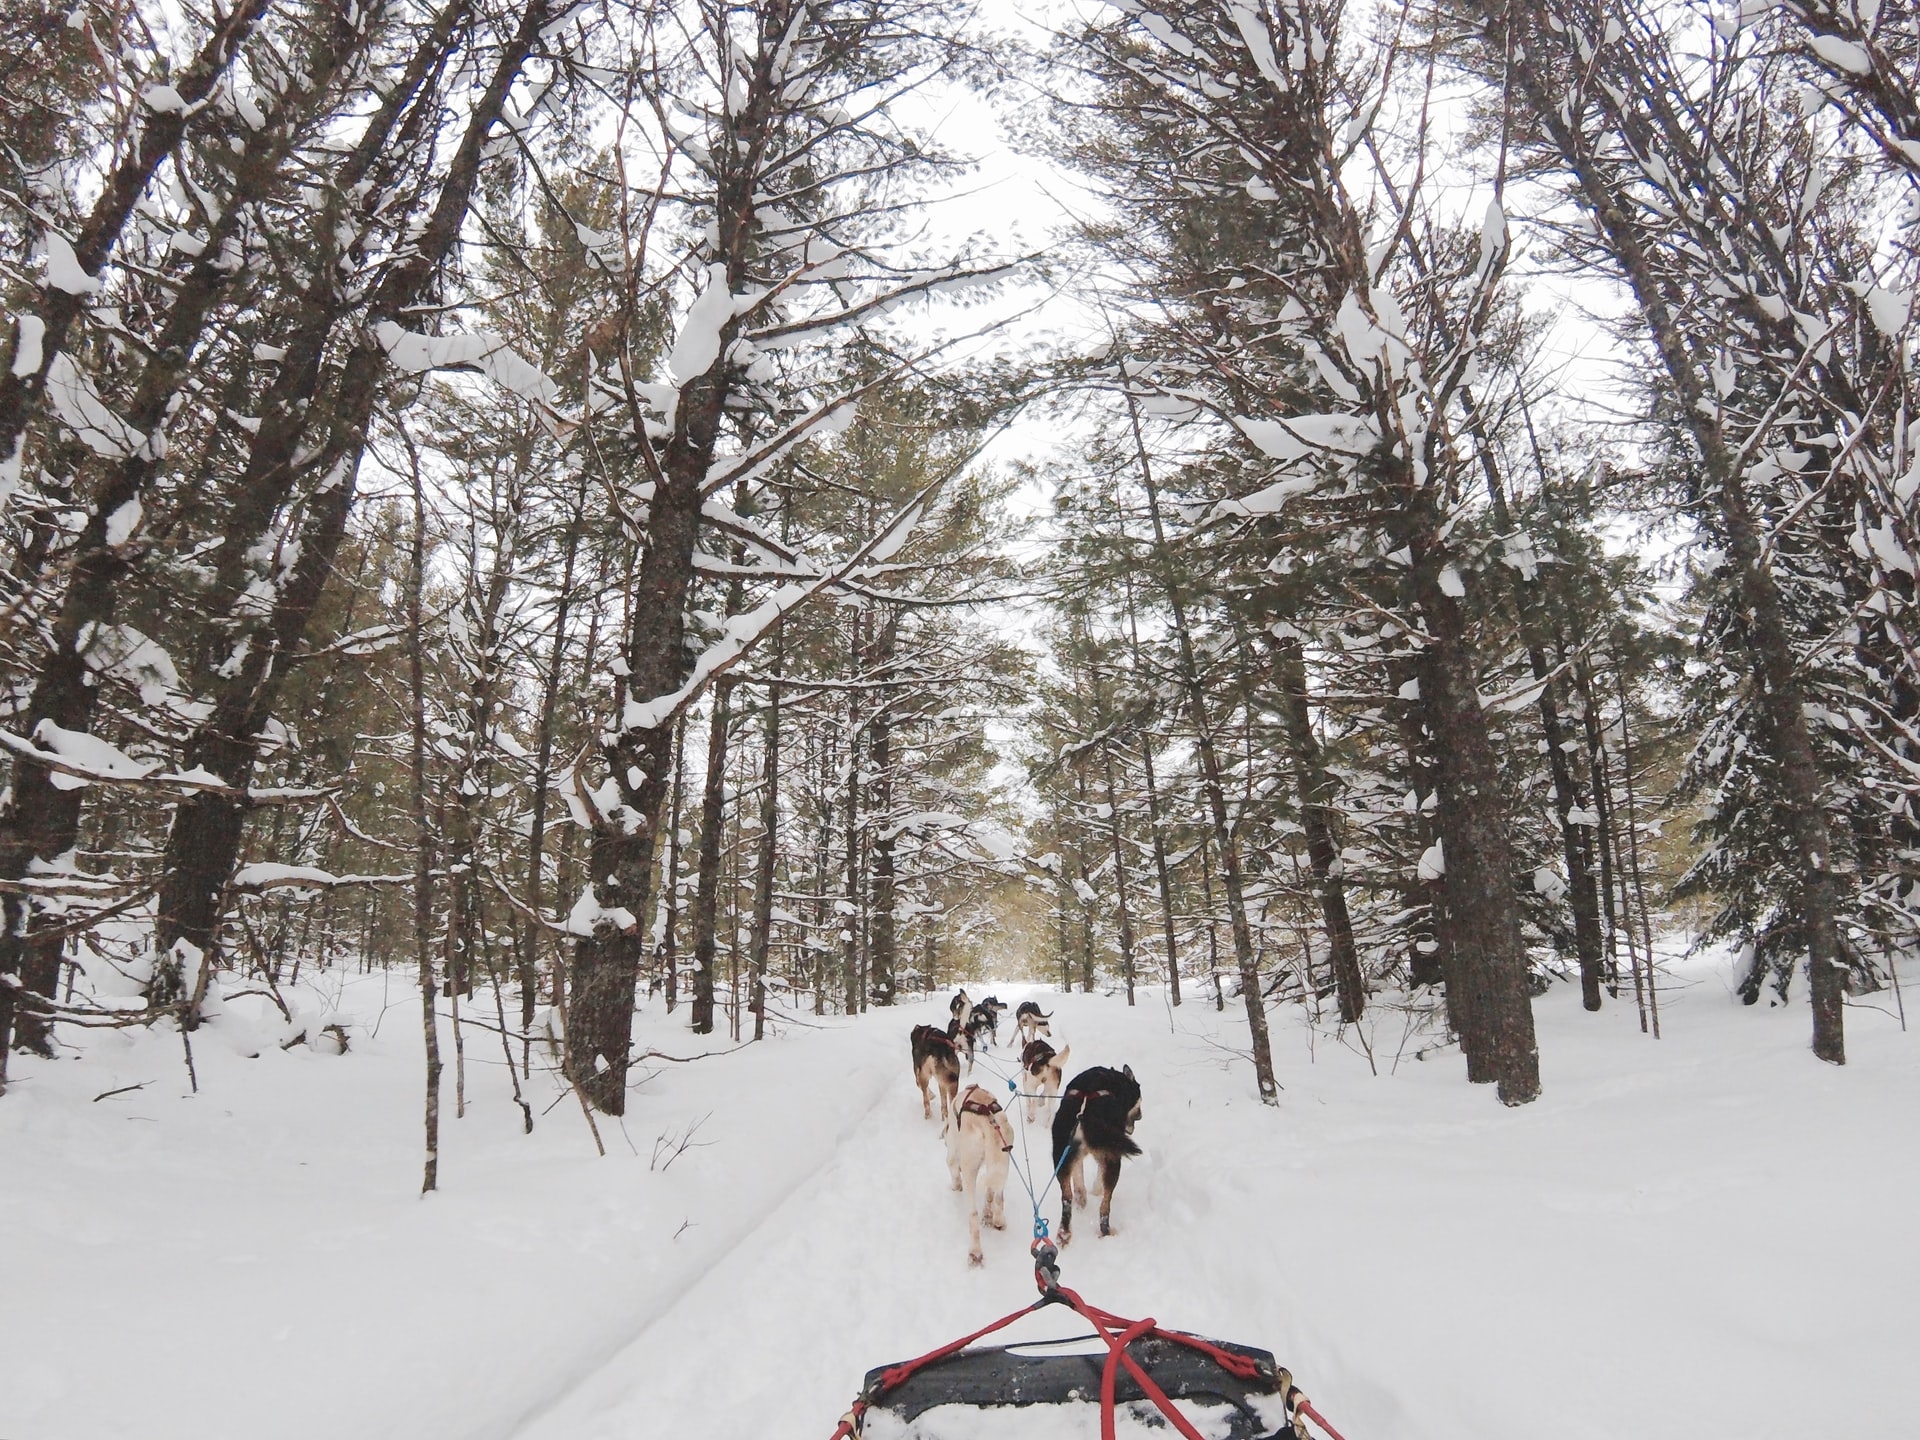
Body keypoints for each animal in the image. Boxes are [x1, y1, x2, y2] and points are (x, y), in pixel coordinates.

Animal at [948, 1090, 1021, 1267]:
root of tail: (989, 1123)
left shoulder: (952, 1150)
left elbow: (952, 1167)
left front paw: (955, 1186)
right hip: (1002, 1161)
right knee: (997, 1197)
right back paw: (995, 1219)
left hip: (969, 1169)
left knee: (973, 1215)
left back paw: (975, 1252)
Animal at [1052, 1067, 1136, 1244]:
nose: (1140, 1115)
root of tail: (1084, 1113)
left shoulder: (1074, 1156)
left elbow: (1078, 1178)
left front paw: (1081, 1198)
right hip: (1112, 1159)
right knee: (1105, 1205)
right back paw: (1106, 1232)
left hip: (1060, 1157)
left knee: (1066, 1197)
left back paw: (1064, 1233)